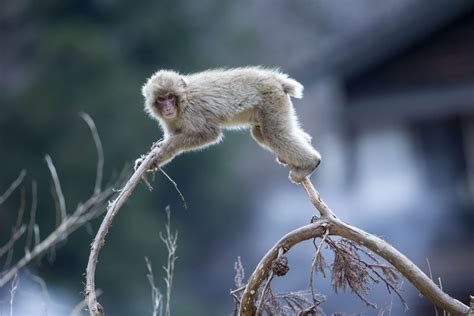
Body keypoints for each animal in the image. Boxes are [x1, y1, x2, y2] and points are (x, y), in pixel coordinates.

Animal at [139, 68, 320, 184]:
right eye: (161, 99)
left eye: (170, 97)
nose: (168, 108)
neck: (183, 100)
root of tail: (275, 79)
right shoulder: (170, 121)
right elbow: (173, 136)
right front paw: (151, 161)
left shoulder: (193, 112)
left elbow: (209, 134)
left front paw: (161, 151)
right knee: (261, 133)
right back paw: (304, 141)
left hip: (272, 100)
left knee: (273, 134)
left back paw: (311, 163)